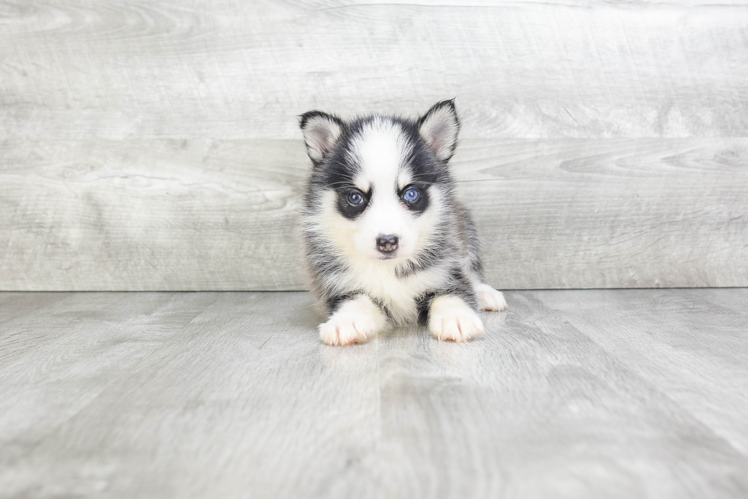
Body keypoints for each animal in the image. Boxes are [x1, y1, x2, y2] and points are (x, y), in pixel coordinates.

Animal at [300, 99, 506, 346]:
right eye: (355, 197)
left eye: (411, 194)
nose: (387, 242)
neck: (389, 268)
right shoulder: (338, 284)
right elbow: (356, 299)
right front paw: (347, 320)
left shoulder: (447, 268)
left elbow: (451, 293)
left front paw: (456, 317)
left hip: (466, 230)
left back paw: (486, 294)